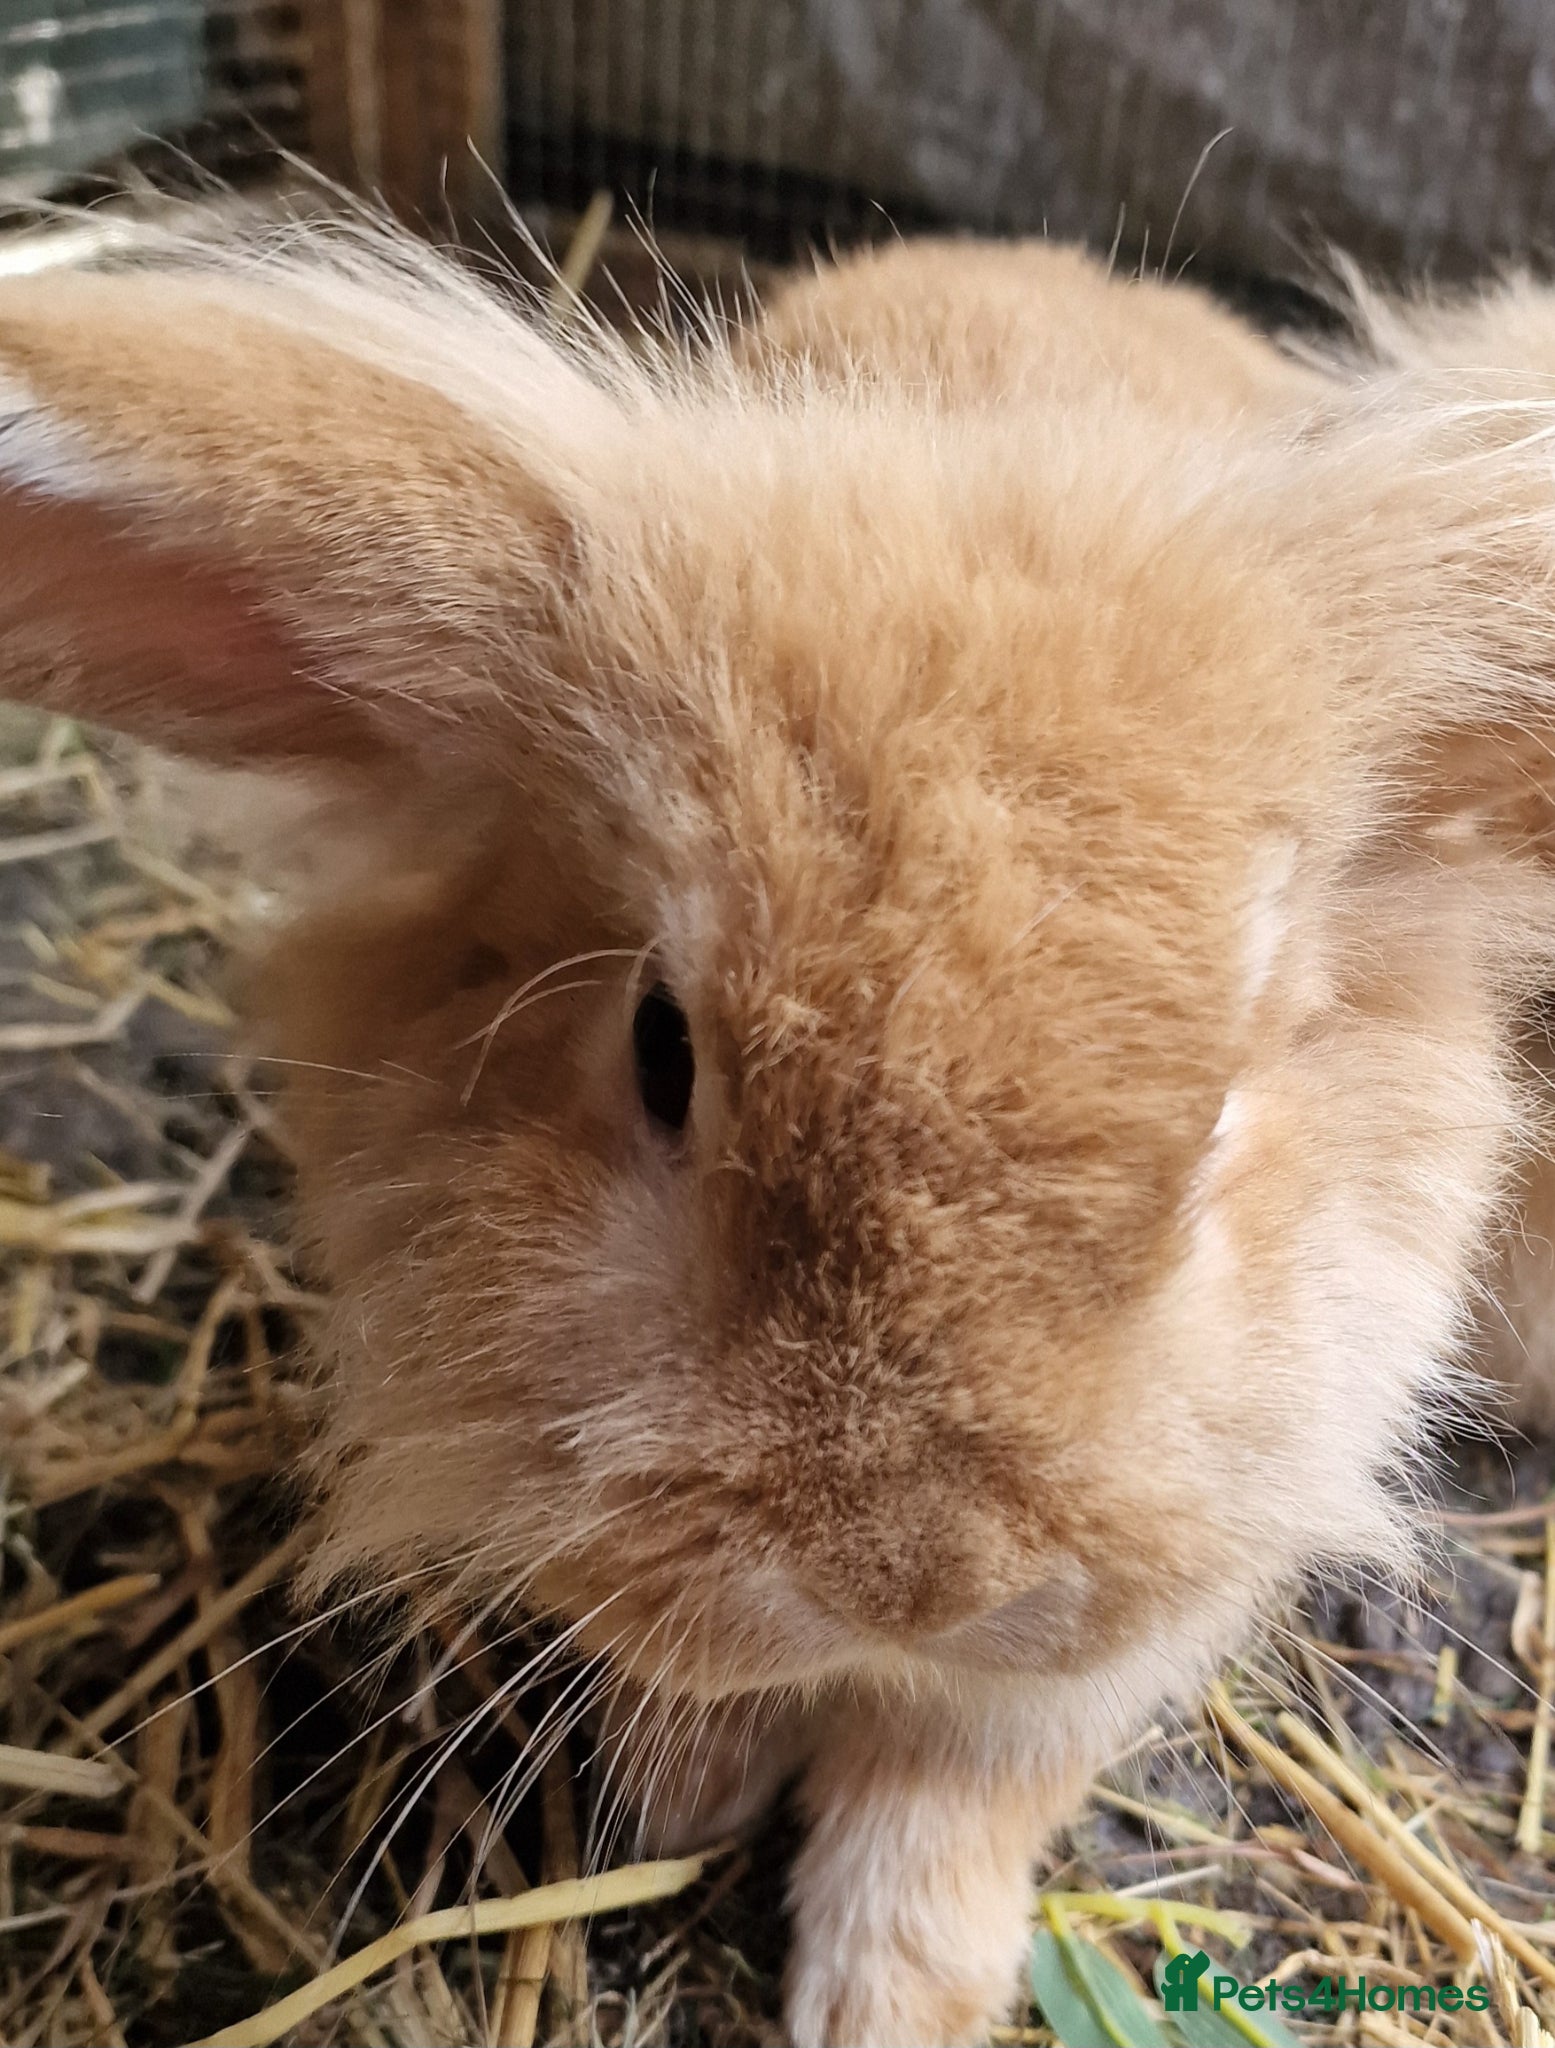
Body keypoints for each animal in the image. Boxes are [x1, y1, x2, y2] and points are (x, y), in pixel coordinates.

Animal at [1, 222, 1554, 2046]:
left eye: (1228, 1105)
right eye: (660, 1047)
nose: (918, 1578)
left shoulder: (1104, 1649)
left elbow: (949, 1807)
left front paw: (885, 2004)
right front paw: (686, 1805)